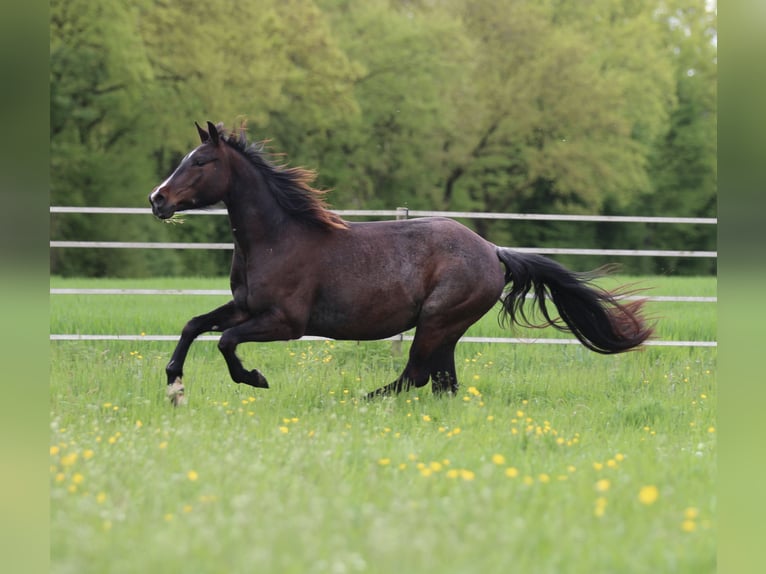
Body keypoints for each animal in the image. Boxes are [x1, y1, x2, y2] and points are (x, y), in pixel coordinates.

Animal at [149, 121, 652, 405]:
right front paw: (174, 386)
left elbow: (226, 342)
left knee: (416, 375)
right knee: (442, 381)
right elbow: (195, 325)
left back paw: (360, 401)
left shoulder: (285, 322)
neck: (277, 240)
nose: (157, 200)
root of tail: (492, 250)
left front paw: (254, 378)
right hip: (447, 329)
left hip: (437, 320)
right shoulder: (245, 307)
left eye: (201, 161)